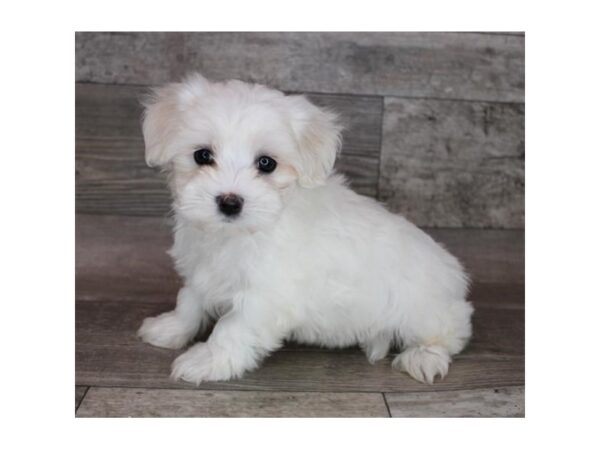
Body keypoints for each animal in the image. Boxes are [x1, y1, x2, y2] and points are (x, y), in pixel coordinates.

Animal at [136, 73, 474, 384]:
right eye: (202, 155)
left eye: (267, 163)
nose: (230, 202)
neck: (235, 235)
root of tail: (455, 279)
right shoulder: (201, 269)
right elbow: (189, 301)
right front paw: (170, 328)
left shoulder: (264, 296)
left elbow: (231, 328)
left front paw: (208, 361)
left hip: (422, 310)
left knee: (450, 332)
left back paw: (424, 357)